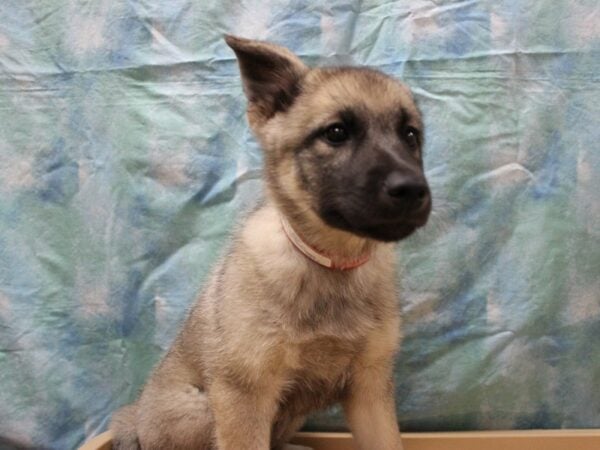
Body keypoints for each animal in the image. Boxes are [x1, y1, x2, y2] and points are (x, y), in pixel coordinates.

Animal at [110, 35, 432, 450]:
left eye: (410, 135)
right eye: (336, 133)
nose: (413, 190)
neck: (330, 260)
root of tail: (135, 419)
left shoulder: (370, 390)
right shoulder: (243, 395)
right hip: (203, 409)